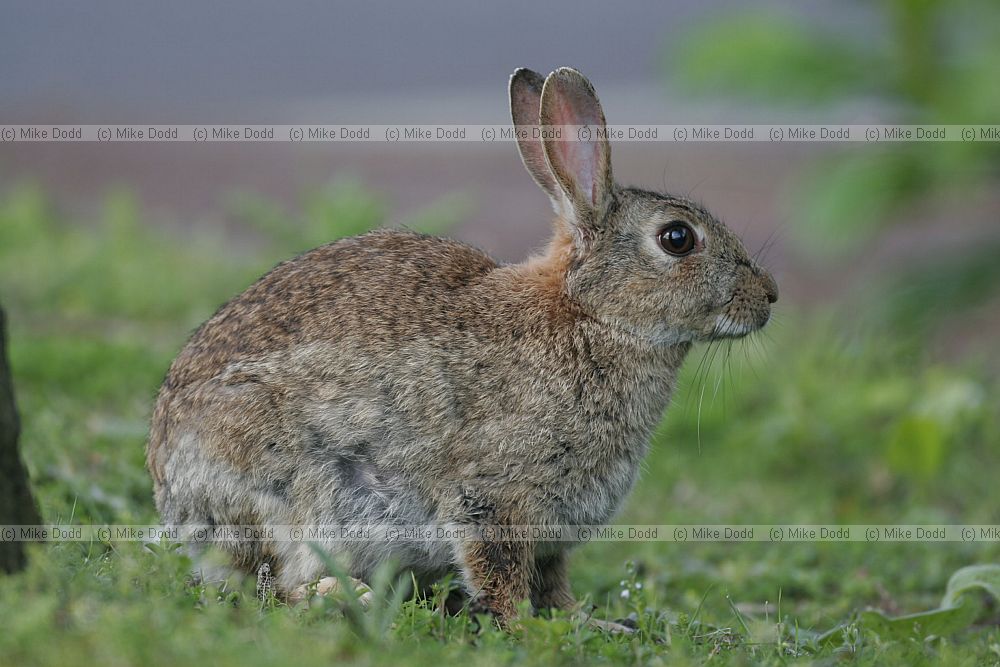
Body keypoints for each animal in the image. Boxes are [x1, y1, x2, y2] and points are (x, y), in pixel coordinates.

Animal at [146, 66, 778, 629]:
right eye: (677, 238)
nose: (769, 296)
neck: (590, 316)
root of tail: (172, 496)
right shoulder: (493, 496)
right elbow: (498, 570)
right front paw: (519, 627)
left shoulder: (552, 534)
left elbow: (553, 583)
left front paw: (587, 623)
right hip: (289, 490)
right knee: (273, 583)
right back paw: (344, 597)